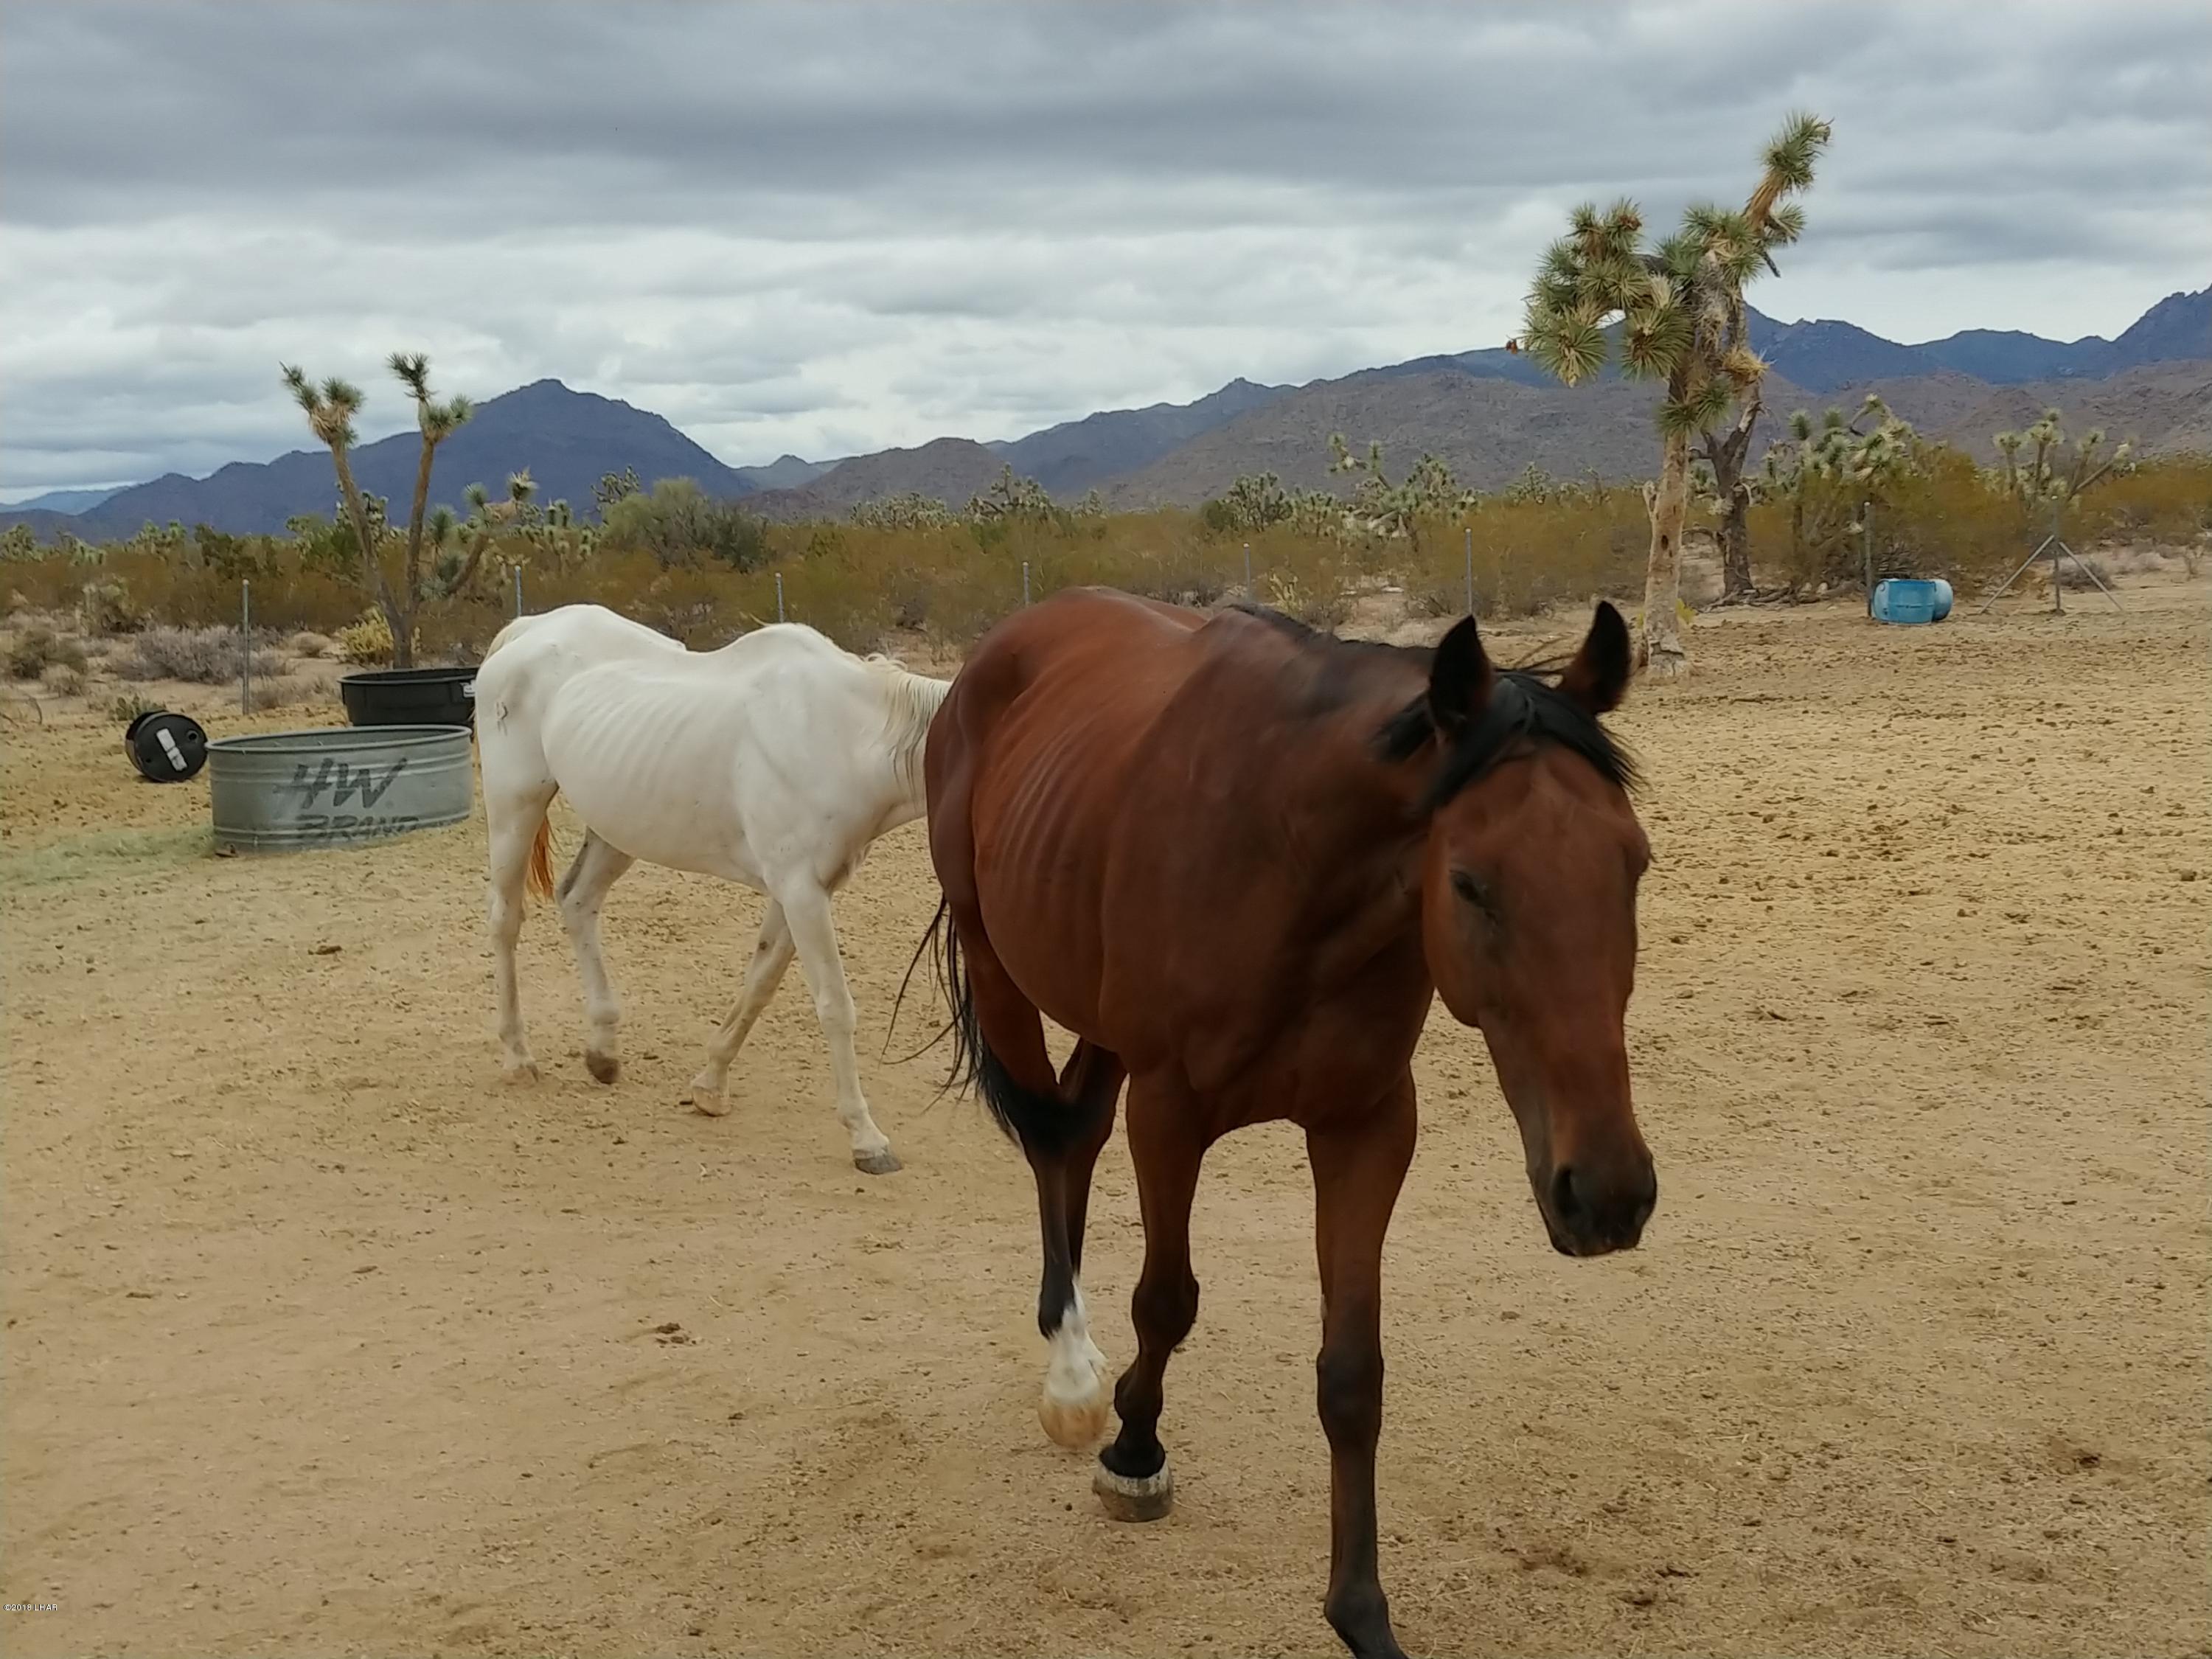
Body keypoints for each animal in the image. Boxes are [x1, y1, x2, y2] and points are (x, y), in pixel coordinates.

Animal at [474, 603, 948, 1174]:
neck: (843, 734)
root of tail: (530, 628)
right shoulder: (801, 891)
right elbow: (835, 1007)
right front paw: (866, 1138)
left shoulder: (802, 892)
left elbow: (759, 984)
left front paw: (710, 1085)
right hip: (514, 809)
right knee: (506, 921)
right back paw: (518, 1056)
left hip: (619, 827)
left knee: (577, 901)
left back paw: (603, 1051)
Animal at [917, 587, 1656, 1658]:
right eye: (1471, 882)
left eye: (1634, 864)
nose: (1606, 1193)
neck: (1292, 862)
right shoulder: (1169, 1110)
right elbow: (1167, 1299)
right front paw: (1133, 1444)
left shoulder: (1366, 1126)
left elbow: (1352, 1374)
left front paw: (1360, 1611)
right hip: (998, 962)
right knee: (1052, 1141)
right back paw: (1072, 1374)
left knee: (1076, 1132)